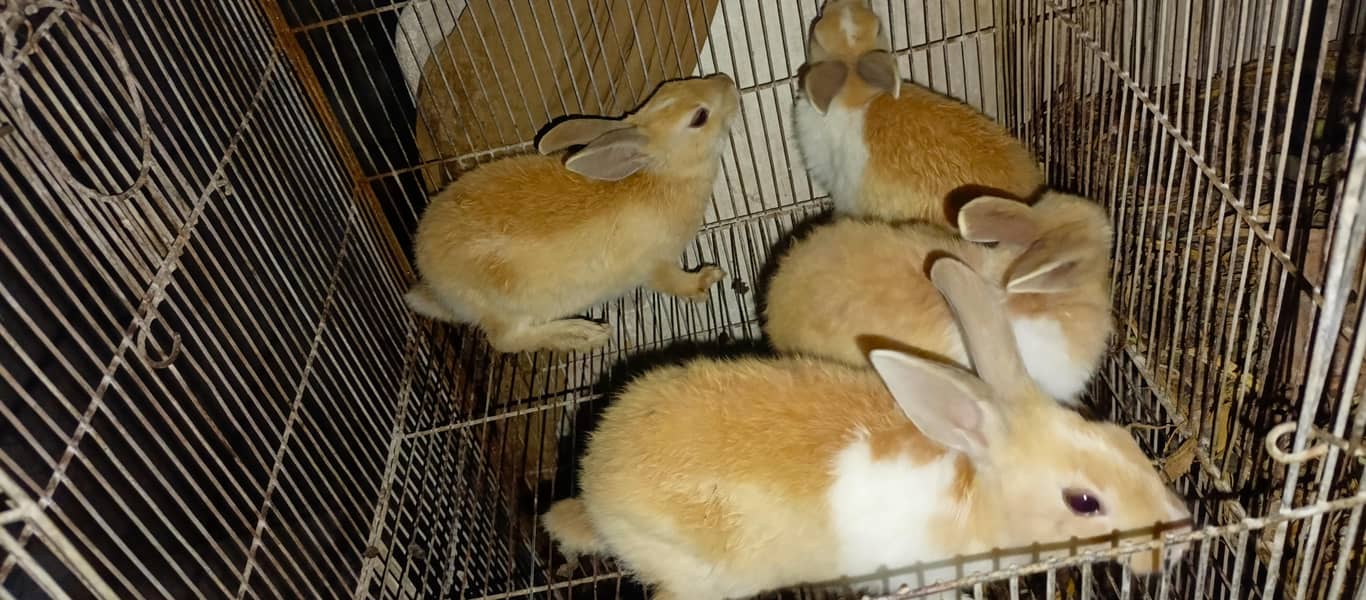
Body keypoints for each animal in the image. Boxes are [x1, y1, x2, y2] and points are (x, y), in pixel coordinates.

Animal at [405, 74, 740, 353]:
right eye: (700, 117)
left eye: (672, 86)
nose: (728, 81)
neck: (664, 175)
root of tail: (432, 280)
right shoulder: (654, 265)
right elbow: (675, 282)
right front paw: (706, 280)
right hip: (508, 308)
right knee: (506, 341)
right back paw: (582, 334)